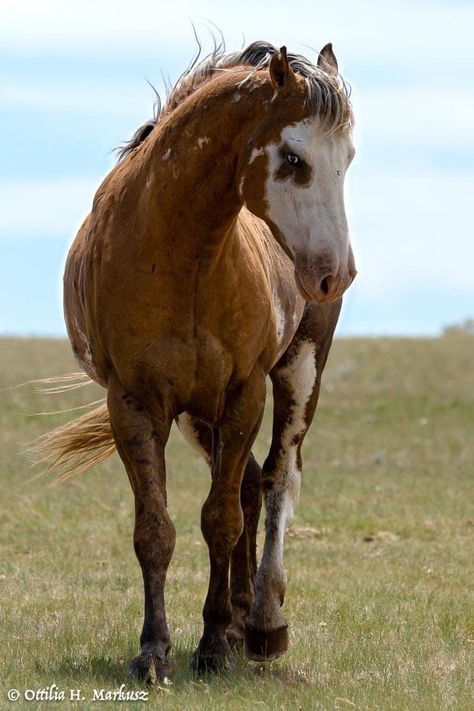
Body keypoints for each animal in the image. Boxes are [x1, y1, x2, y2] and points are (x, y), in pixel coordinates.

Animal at [37, 40, 356, 684]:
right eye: (293, 157)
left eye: (349, 159)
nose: (337, 272)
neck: (185, 255)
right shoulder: (136, 404)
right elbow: (156, 530)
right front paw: (154, 651)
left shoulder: (244, 394)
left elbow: (220, 519)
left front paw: (211, 647)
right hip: (195, 415)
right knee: (253, 484)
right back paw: (238, 621)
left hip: (299, 370)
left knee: (277, 479)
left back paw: (261, 625)